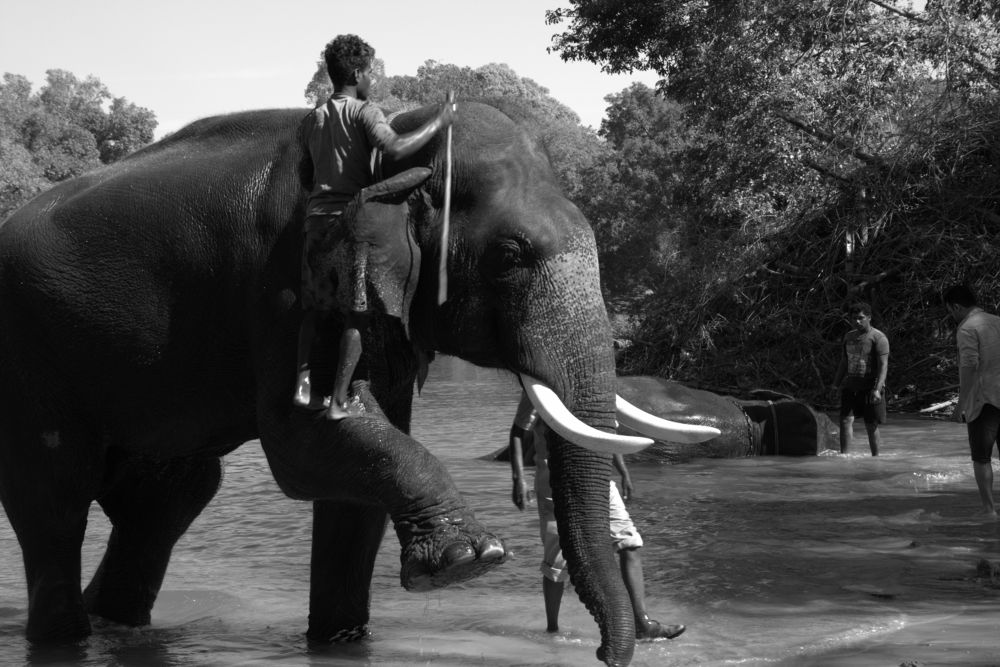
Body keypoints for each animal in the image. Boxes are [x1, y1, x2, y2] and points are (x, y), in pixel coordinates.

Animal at [0, 101, 717, 666]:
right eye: (509, 256)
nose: (605, 655)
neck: (396, 138)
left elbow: (359, 478)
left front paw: (342, 641)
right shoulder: (291, 280)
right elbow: (303, 440)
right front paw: (468, 559)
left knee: (169, 498)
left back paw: (116, 623)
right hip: (31, 360)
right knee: (56, 498)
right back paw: (65, 636)